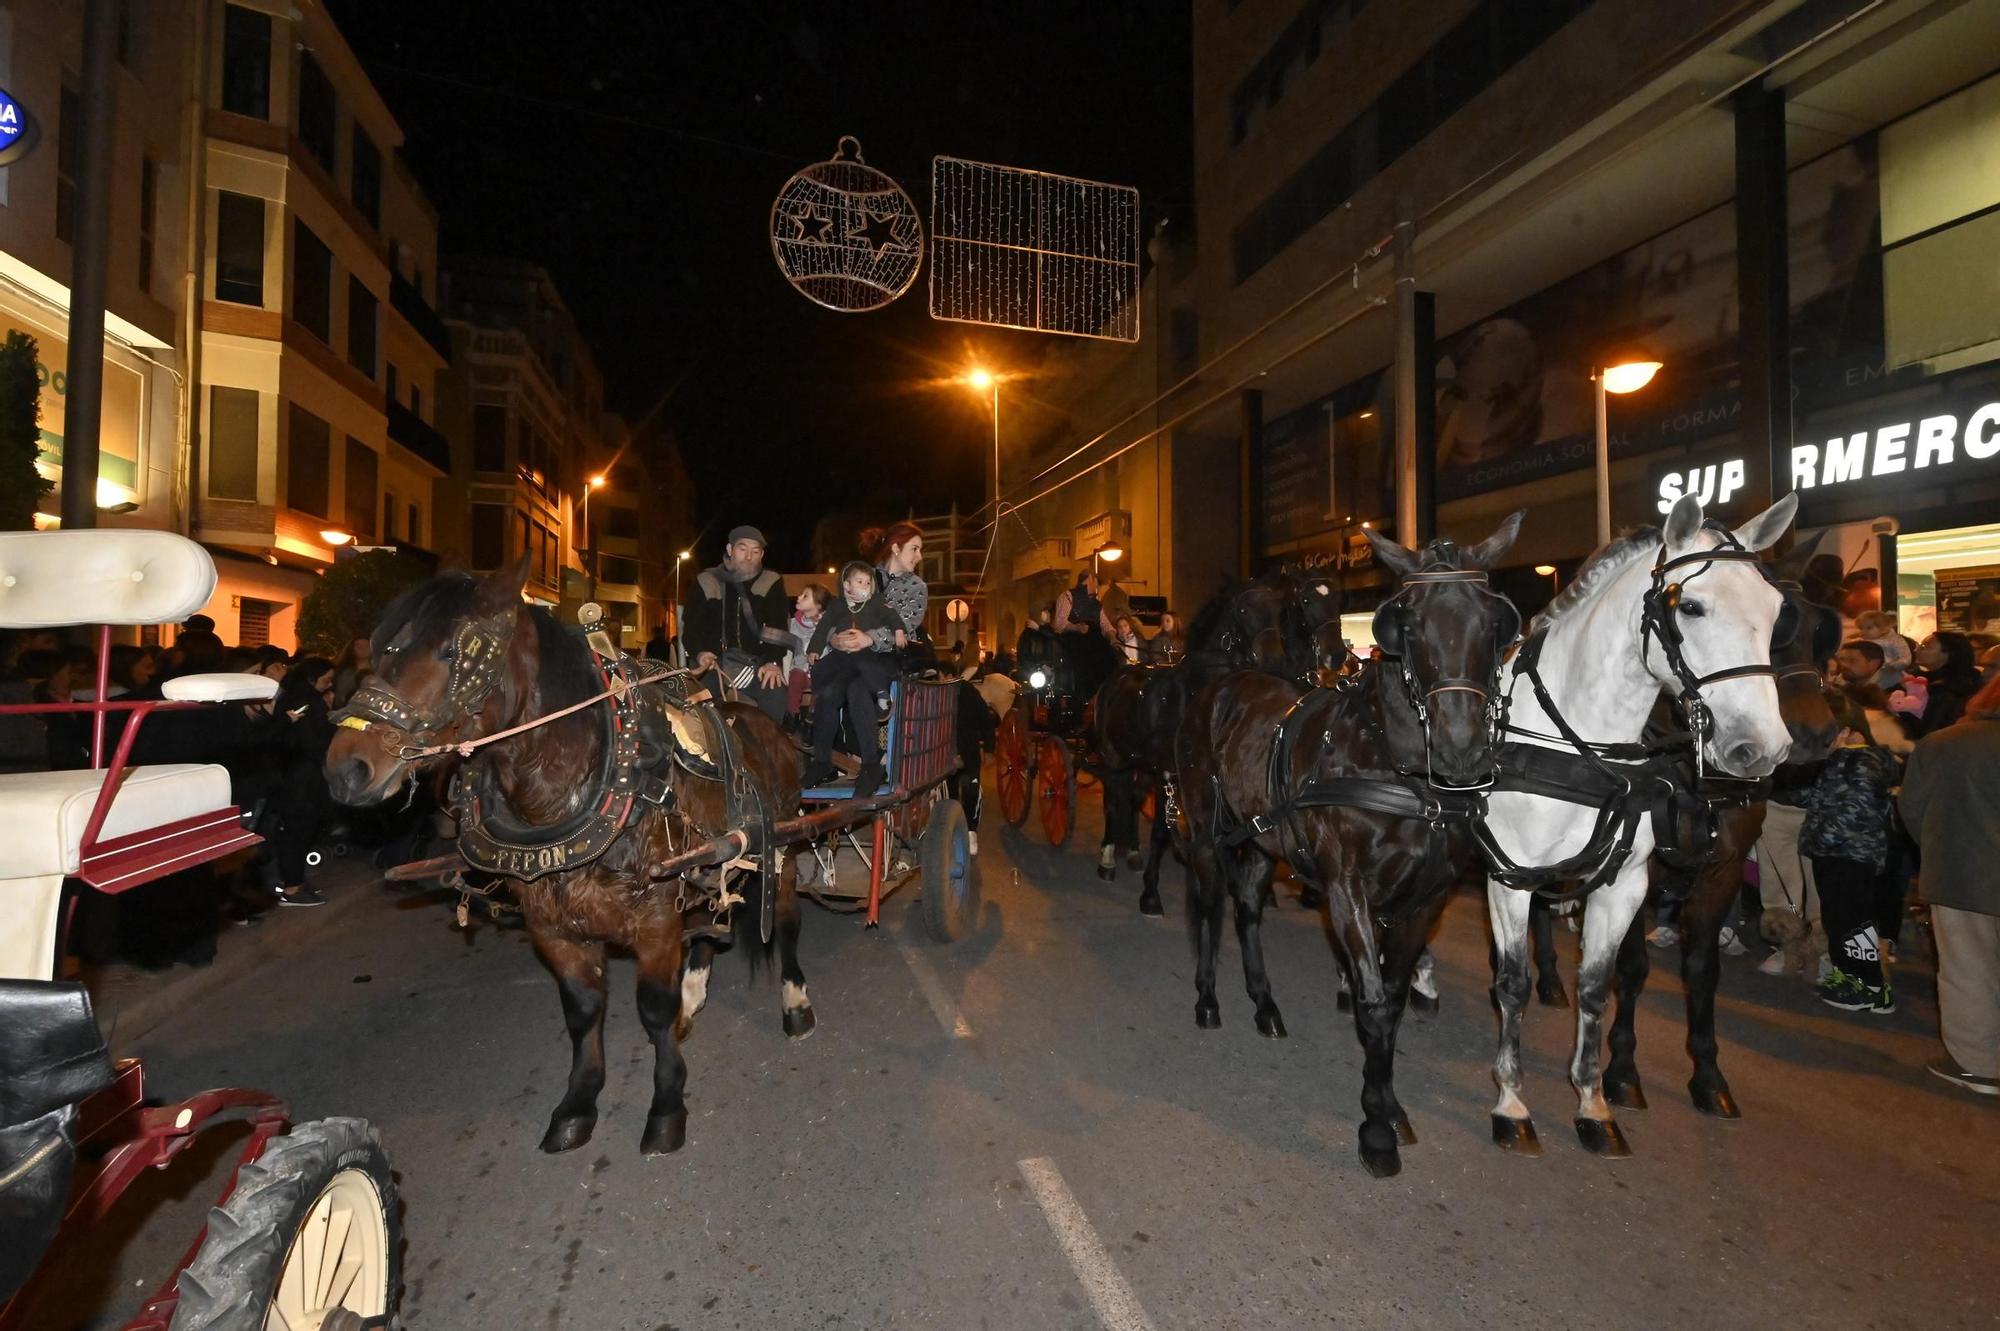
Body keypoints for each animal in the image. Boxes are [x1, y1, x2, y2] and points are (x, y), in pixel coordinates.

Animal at [324, 559, 808, 1151]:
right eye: (379, 646)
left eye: (455, 650)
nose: (346, 769)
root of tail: (766, 726)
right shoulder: (552, 923)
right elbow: (582, 1011)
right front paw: (578, 1103)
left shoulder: (655, 919)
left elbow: (653, 1010)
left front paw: (667, 1105)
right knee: (711, 921)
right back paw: (695, 993)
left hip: (784, 847)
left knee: (785, 921)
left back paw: (795, 1003)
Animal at [1096, 559, 1344, 911]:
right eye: (1243, 609)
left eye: (1277, 609)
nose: (1337, 655)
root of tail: (1122, 673)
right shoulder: (1170, 773)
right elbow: (1162, 830)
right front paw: (1151, 894)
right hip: (1112, 757)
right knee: (1111, 801)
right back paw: (1108, 857)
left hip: (1138, 763)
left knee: (1128, 800)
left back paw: (1130, 850)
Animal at [1176, 507, 1520, 1175]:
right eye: (1406, 623)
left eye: (1494, 622)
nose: (1463, 750)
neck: (1397, 769)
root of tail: (1226, 683)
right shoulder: (1346, 891)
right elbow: (1373, 1004)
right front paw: (1376, 1130)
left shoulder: (1425, 901)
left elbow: (1393, 999)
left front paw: (1388, 1106)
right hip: (1205, 829)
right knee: (1209, 905)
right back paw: (1208, 1000)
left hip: (1265, 842)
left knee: (1247, 907)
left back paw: (1265, 1004)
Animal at [1480, 491, 1808, 1159]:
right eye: (1692, 606)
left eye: (1777, 614)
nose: (1761, 749)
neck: (1575, 739)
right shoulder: (1509, 877)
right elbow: (1511, 982)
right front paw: (1512, 1100)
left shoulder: (1630, 882)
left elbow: (1603, 984)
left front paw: (1594, 1100)